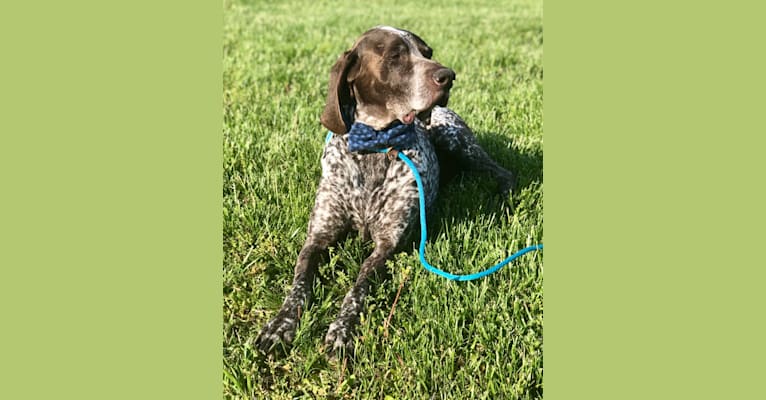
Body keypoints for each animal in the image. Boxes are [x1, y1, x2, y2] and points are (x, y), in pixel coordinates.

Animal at [258, 25, 516, 356]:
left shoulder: (387, 245)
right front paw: (281, 324)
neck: (374, 146)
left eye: (427, 53)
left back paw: (503, 194)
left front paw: (341, 330)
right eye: (395, 56)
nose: (448, 76)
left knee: (500, 170)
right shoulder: (318, 237)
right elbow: (300, 281)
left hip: (455, 139)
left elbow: (358, 286)